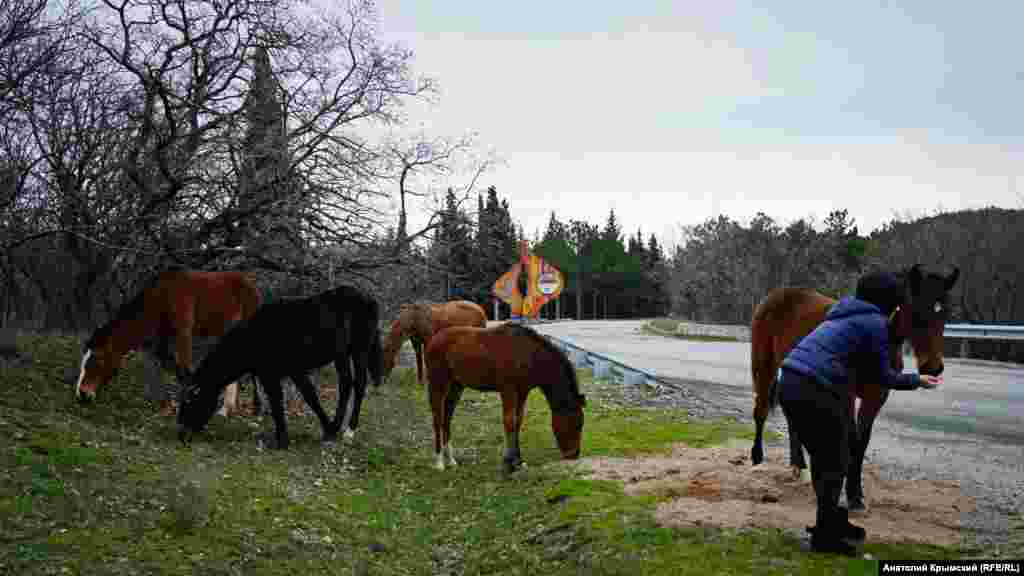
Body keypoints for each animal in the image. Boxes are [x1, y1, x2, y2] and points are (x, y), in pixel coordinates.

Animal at [76, 266, 260, 414]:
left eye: (97, 360)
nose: (82, 395)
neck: (162, 297)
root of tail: (250, 283)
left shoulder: (183, 334)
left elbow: (183, 369)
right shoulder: (161, 340)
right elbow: (168, 365)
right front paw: (168, 406)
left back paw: (254, 409)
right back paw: (226, 409)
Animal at [176, 282, 385, 448]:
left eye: (190, 401)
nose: (181, 434)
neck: (254, 336)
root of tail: (368, 297)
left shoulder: (272, 375)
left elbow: (279, 401)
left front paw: (282, 440)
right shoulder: (293, 371)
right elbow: (310, 397)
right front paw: (327, 430)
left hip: (355, 351)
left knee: (354, 384)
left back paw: (349, 430)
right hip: (348, 353)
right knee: (351, 384)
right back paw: (338, 426)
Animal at [421, 319, 585, 473]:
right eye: (576, 424)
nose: (573, 455)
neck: (530, 355)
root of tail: (434, 339)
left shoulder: (522, 391)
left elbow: (518, 421)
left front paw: (518, 461)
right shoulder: (508, 391)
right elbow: (509, 421)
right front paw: (508, 463)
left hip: (456, 386)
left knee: (447, 418)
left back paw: (450, 460)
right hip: (438, 383)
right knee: (437, 418)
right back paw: (439, 462)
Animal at [749, 262, 954, 508]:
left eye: (945, 313)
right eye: (917, 312)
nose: (933, 368)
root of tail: (775, 295)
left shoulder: (877, 395)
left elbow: (862, 441)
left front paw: (855, 495)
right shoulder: (846, 393)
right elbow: (851, 438)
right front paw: (847, 491)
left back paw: (798, 467)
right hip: (764, 365)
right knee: (761, 409)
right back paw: (758, 459)